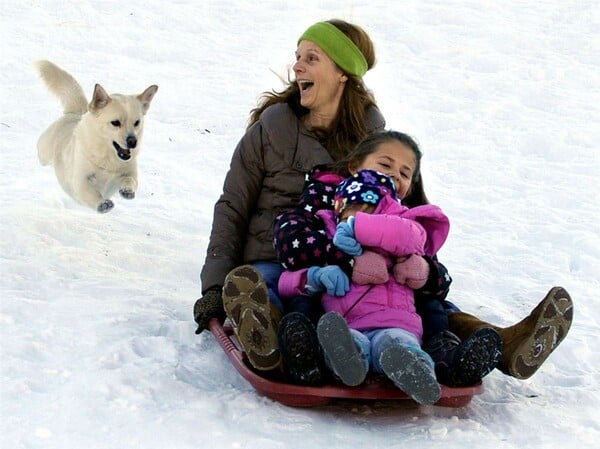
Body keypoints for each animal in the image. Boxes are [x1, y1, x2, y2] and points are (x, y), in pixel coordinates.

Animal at [34, 59, 157, 212]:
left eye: (137, 122)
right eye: (115, 123)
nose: (133, 141)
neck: (109, 160)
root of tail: (76, 113)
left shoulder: (129, 172)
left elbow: (131, 180)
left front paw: (127, 190)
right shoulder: (79, 180)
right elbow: (89, 192)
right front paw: (102, 203)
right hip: (44, 151)